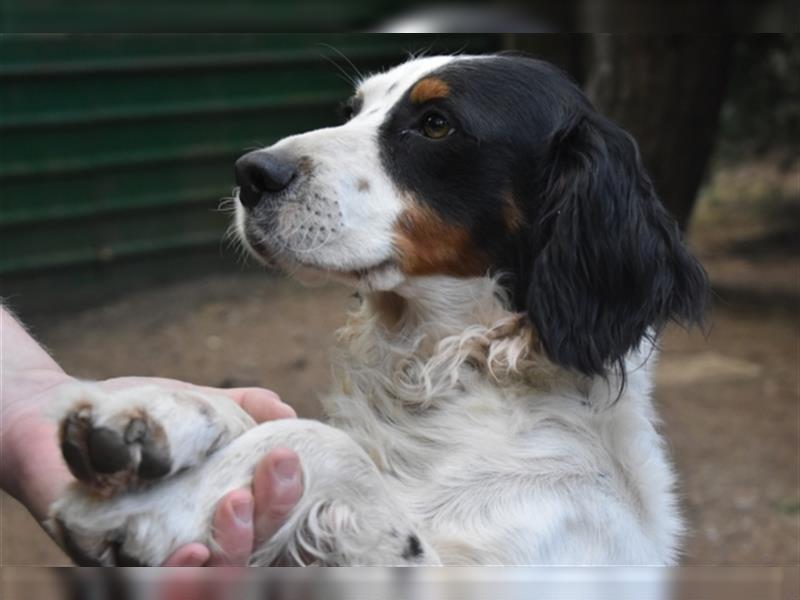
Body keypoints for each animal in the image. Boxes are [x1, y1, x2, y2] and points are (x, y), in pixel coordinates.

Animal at [47, 54, 708, 564]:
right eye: (355, 110)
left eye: (436, 123)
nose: (250, 173)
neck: (452, 371)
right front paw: (156, 413)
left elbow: (322, 444)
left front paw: (167, 503)